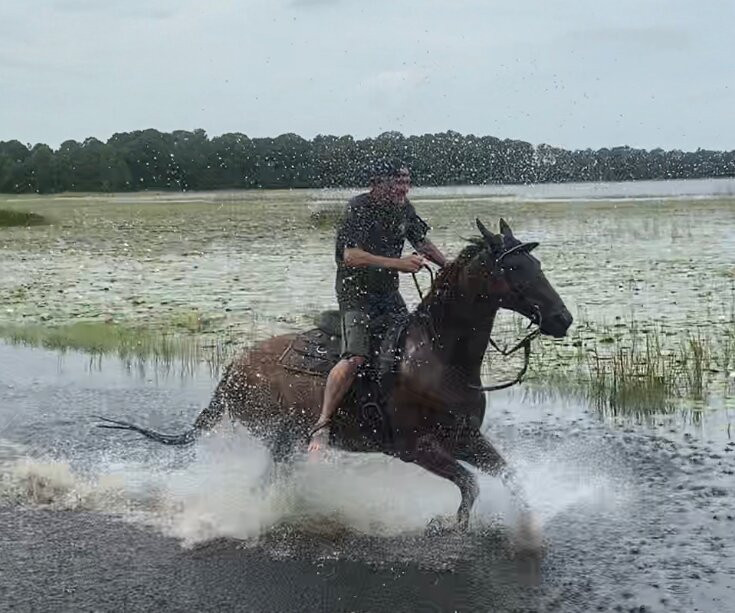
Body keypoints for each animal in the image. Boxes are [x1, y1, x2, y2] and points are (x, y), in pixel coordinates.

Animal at [98, 218, 576, 528]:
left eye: (537, 265)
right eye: (514, 268)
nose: (563, 318)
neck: (440, 358)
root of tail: (232, 370)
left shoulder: (465, 437)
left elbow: (509, 477)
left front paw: (528, 531)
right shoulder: (416, 448)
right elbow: (470, 486)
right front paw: (448, 526)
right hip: (281, 440)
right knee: (266, 483)